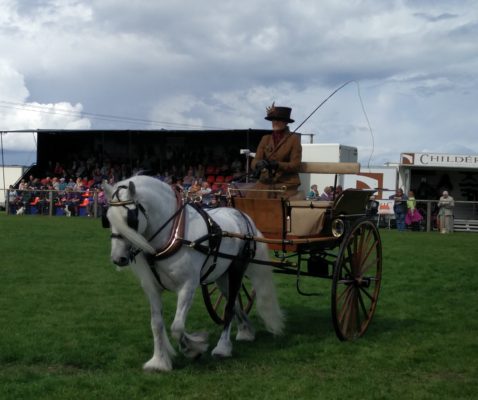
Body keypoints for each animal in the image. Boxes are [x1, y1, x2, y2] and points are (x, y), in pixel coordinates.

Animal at [103, 176, 284, 372]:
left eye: (130, 219)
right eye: (107, 220)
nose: (118, 258)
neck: (174, 234)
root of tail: (244, 217)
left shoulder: (188, 285)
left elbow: (177, 327)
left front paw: (193, 348)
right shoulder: (152, 289)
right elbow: (156, 324)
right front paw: (159, 361)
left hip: (237, 269)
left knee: (229, 308)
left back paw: (222, 347)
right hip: (222, 276)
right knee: (234, 301)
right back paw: (245, 331)